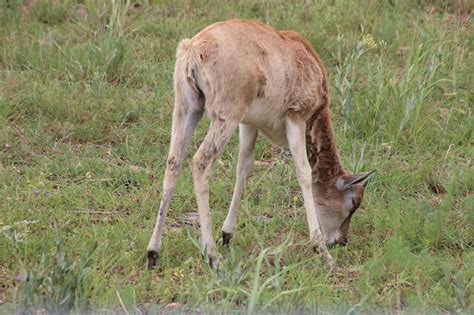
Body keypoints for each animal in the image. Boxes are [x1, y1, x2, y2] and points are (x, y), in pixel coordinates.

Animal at [147, 19, 374, 270]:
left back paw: (153, 253)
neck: (307, 59)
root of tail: (195, 49)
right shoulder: (295, 118)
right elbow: (304, 172)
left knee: (173, 162)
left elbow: (244, 165)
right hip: (225, 116)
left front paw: (227, 234)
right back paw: (212, 257)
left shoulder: (249, 124)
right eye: (354, 201)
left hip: (188, 109)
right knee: (200, 163)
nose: (341, 241)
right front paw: (322, 251)